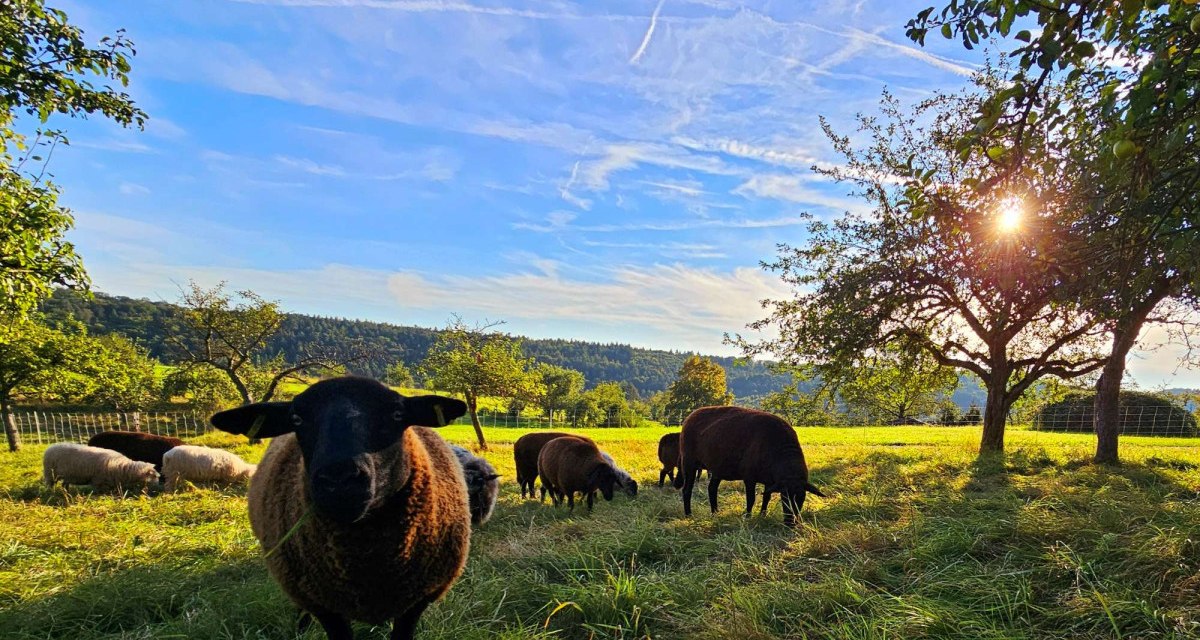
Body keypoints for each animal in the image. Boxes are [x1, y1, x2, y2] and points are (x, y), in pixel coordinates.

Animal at [674, 406, 825, 526]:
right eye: (784, 497)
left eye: (802, 498)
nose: (791, 523)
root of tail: (690, 417)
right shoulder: (749, 477)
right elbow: (751, 499)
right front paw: (747, 517)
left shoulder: (770, 480)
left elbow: (766, 497)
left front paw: (762, 514)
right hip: (689, 463)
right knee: (687, 490)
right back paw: (689, 515)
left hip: (717, 468)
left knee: (712, 489)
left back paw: (715, 513)